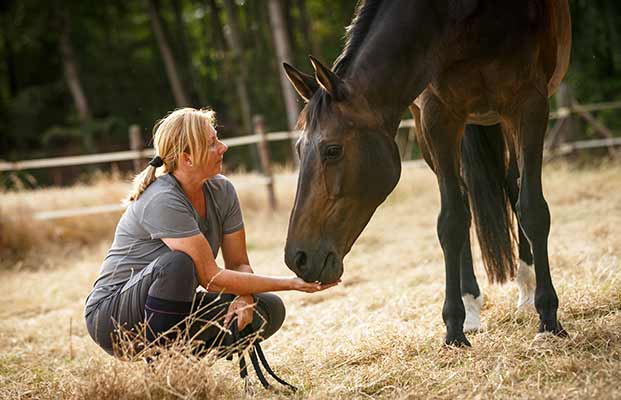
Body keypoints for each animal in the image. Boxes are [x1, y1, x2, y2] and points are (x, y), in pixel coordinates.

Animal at [284, 0, 568, 346]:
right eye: (299, 149)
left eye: (332, 150)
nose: (297, 258)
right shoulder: (436, 116)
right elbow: (451, 222)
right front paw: (455, 329)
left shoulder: (530, 103)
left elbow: (532, 209)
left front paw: (549, 318)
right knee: (465, 201)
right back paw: (471, 306)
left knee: (512, 188)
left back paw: (526, 289)